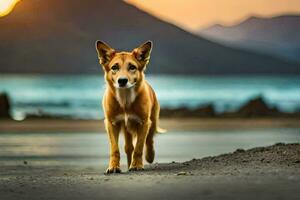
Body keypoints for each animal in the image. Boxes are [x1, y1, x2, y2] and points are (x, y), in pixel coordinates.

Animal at [95, 40, 164, 173]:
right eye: (114, 67)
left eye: (132, 67)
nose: (122, 80)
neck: (125, 100)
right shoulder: (111, 123)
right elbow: (115, 149)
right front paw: (113, 166)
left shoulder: (144, 123)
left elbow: (139, 147)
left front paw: (137, 165)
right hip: (126, 128)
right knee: (128, 147)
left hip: (152, 121)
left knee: (149, 140)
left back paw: (150, 156)